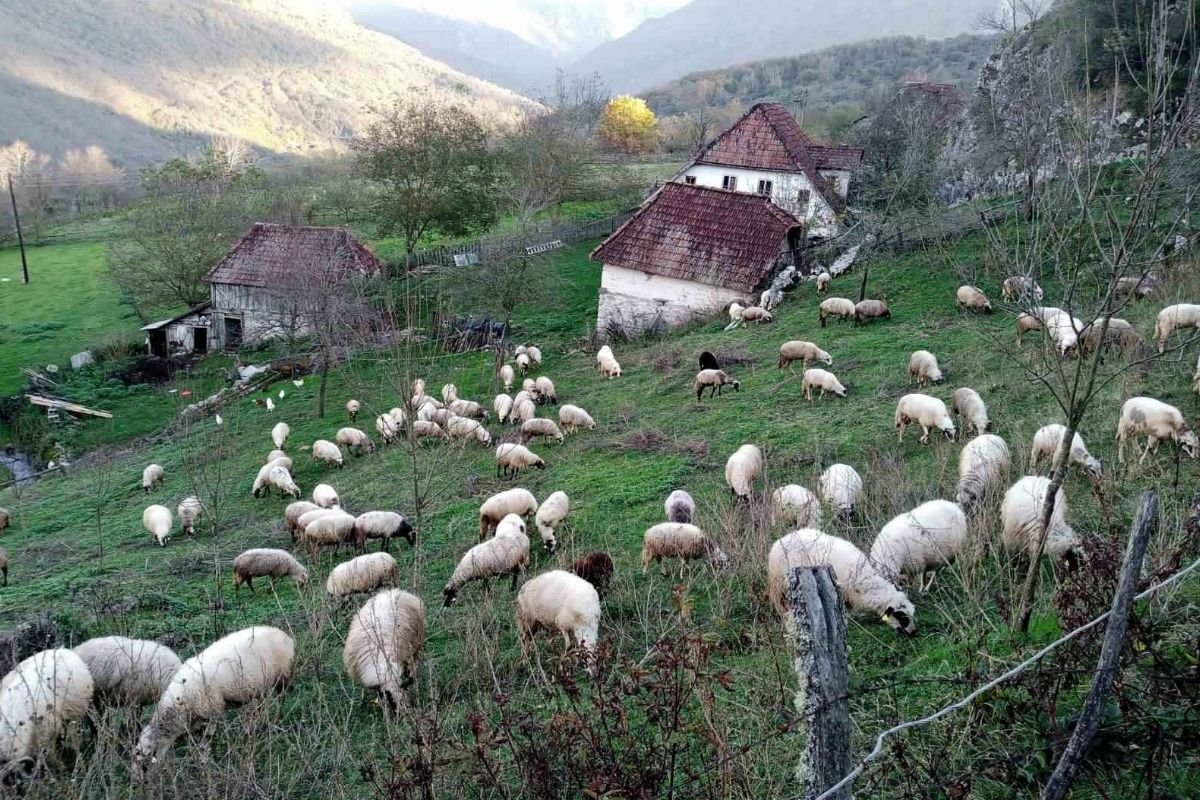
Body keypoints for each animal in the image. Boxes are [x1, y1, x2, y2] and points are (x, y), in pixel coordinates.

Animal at [132, 623, 294, 782]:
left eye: (144, 766)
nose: (139, 784)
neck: (180, 703)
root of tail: (285, 636)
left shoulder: (212, 711)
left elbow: (206, 740)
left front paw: (204, 761)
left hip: (283, 676)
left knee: (281, 699)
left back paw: (276, 719)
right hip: (260, 686)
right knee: (261, 704)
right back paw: (254, 726)